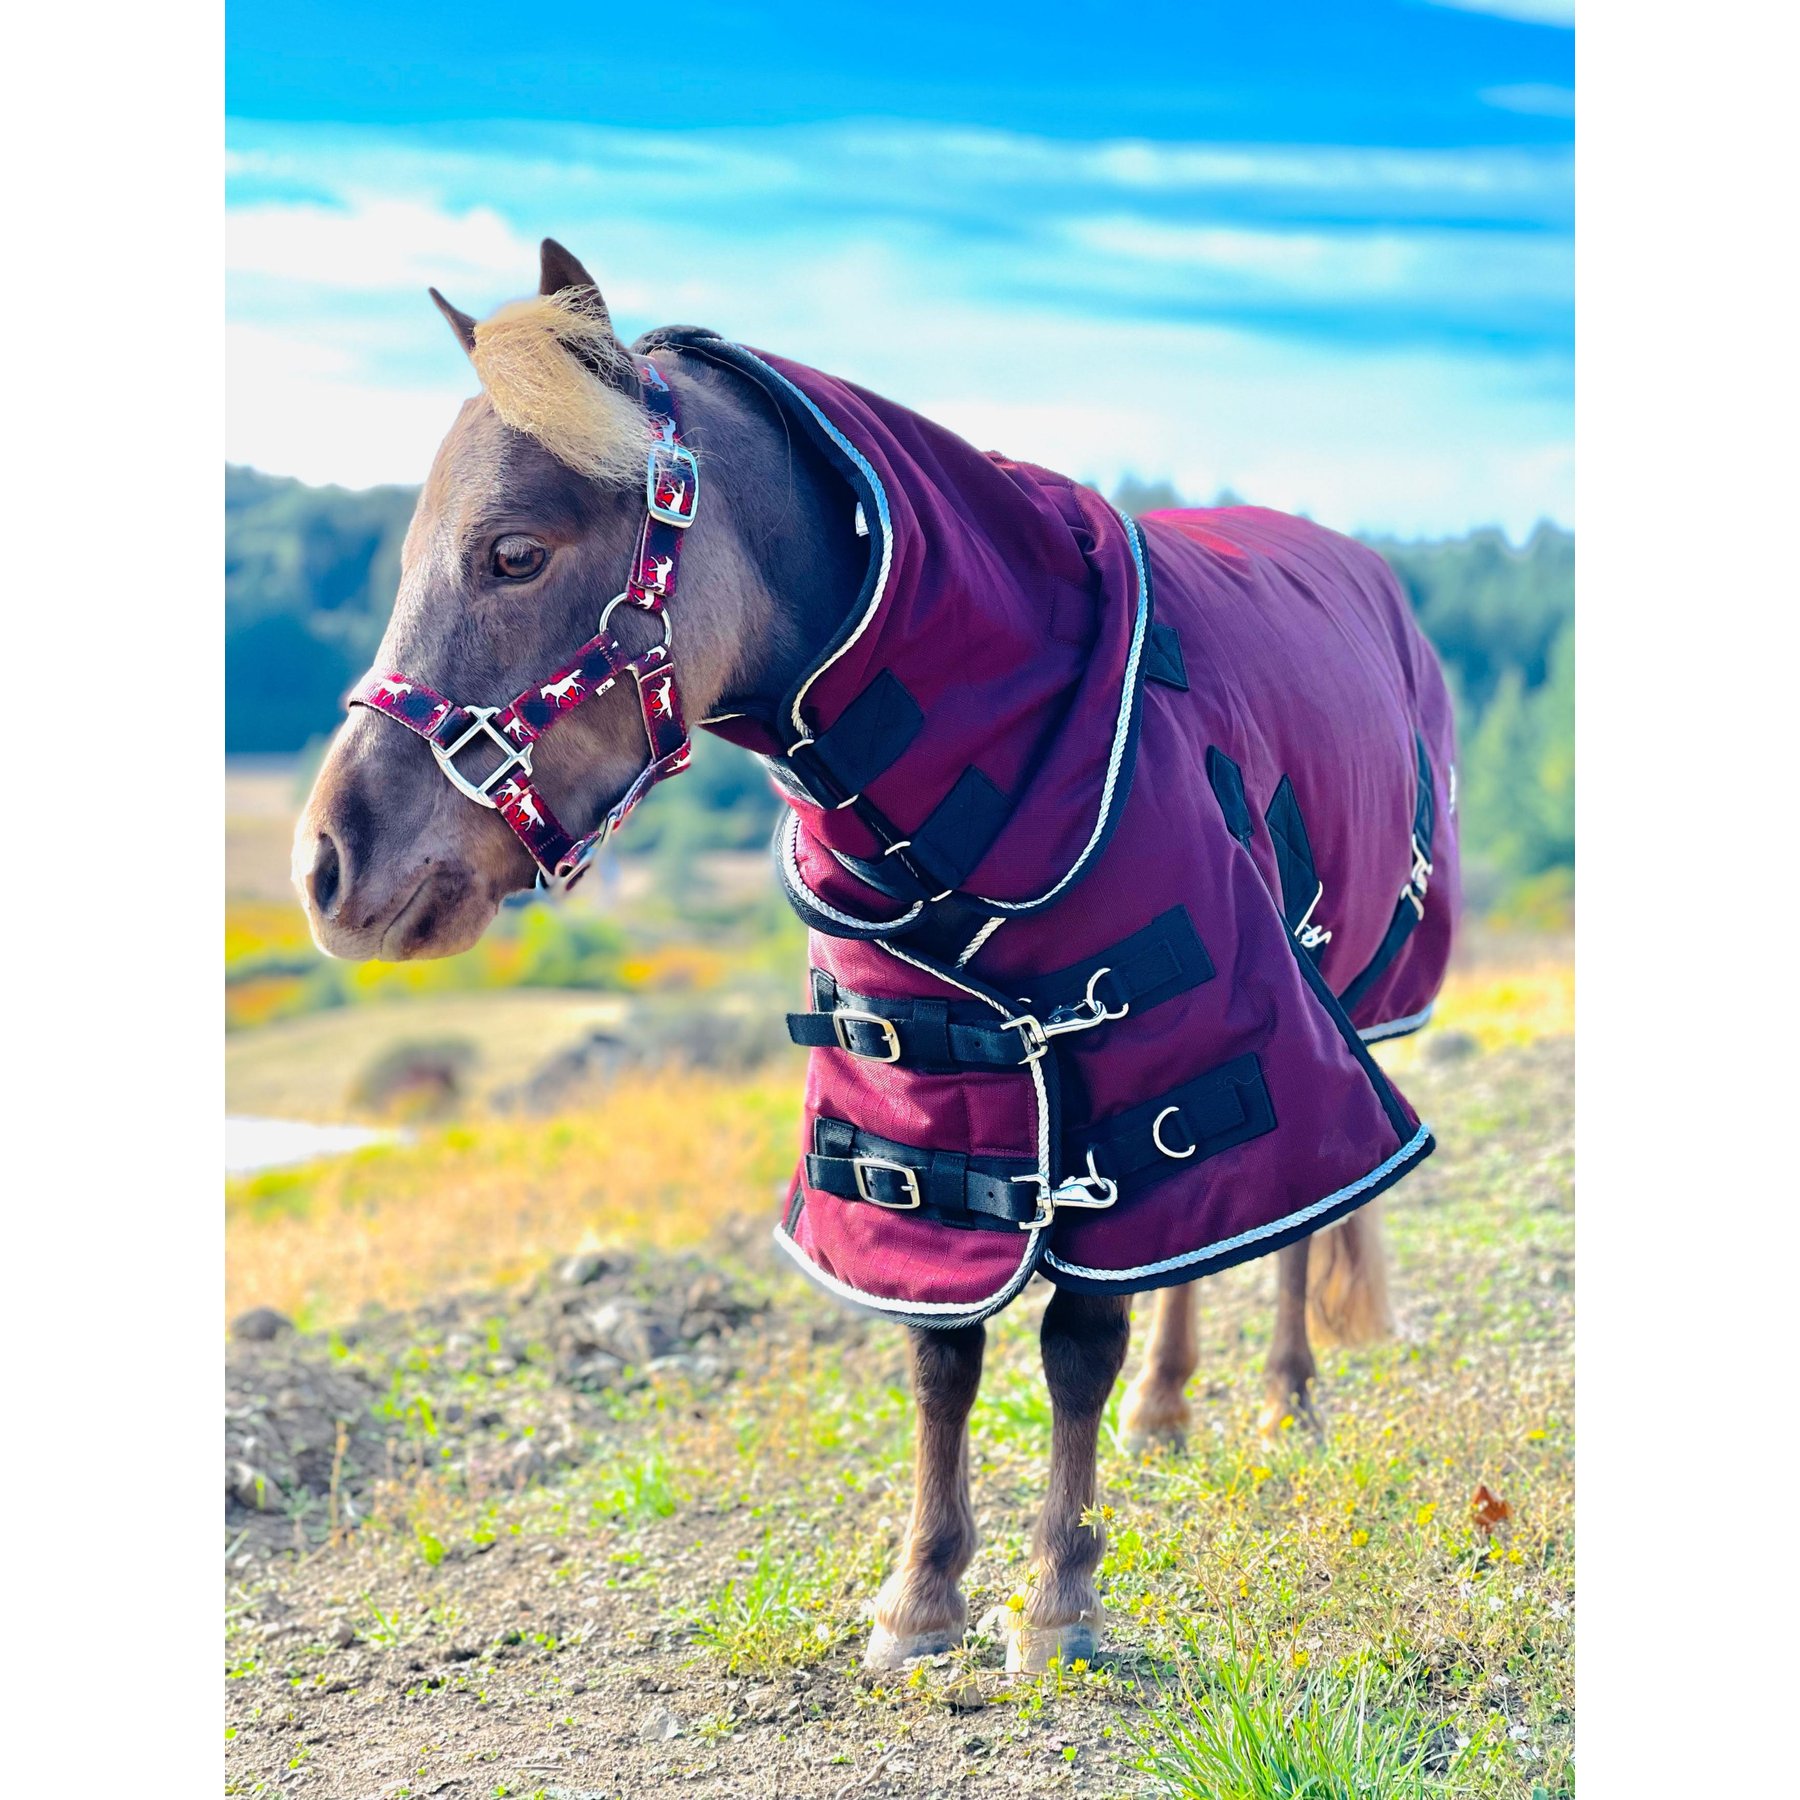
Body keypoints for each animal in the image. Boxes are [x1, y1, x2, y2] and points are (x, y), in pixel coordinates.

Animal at [294, 239, 1457, 1674]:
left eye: (513, 552)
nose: (329, 864)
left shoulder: (1152, 1037)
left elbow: (1082, 1328)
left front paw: (1058, 1597)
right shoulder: (919, 1074)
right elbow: (941, 1347)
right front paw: (923, 1593)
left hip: (1309, 1002)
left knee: (1286, 1225)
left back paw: (1288, 1398)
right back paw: (1171, 1409)